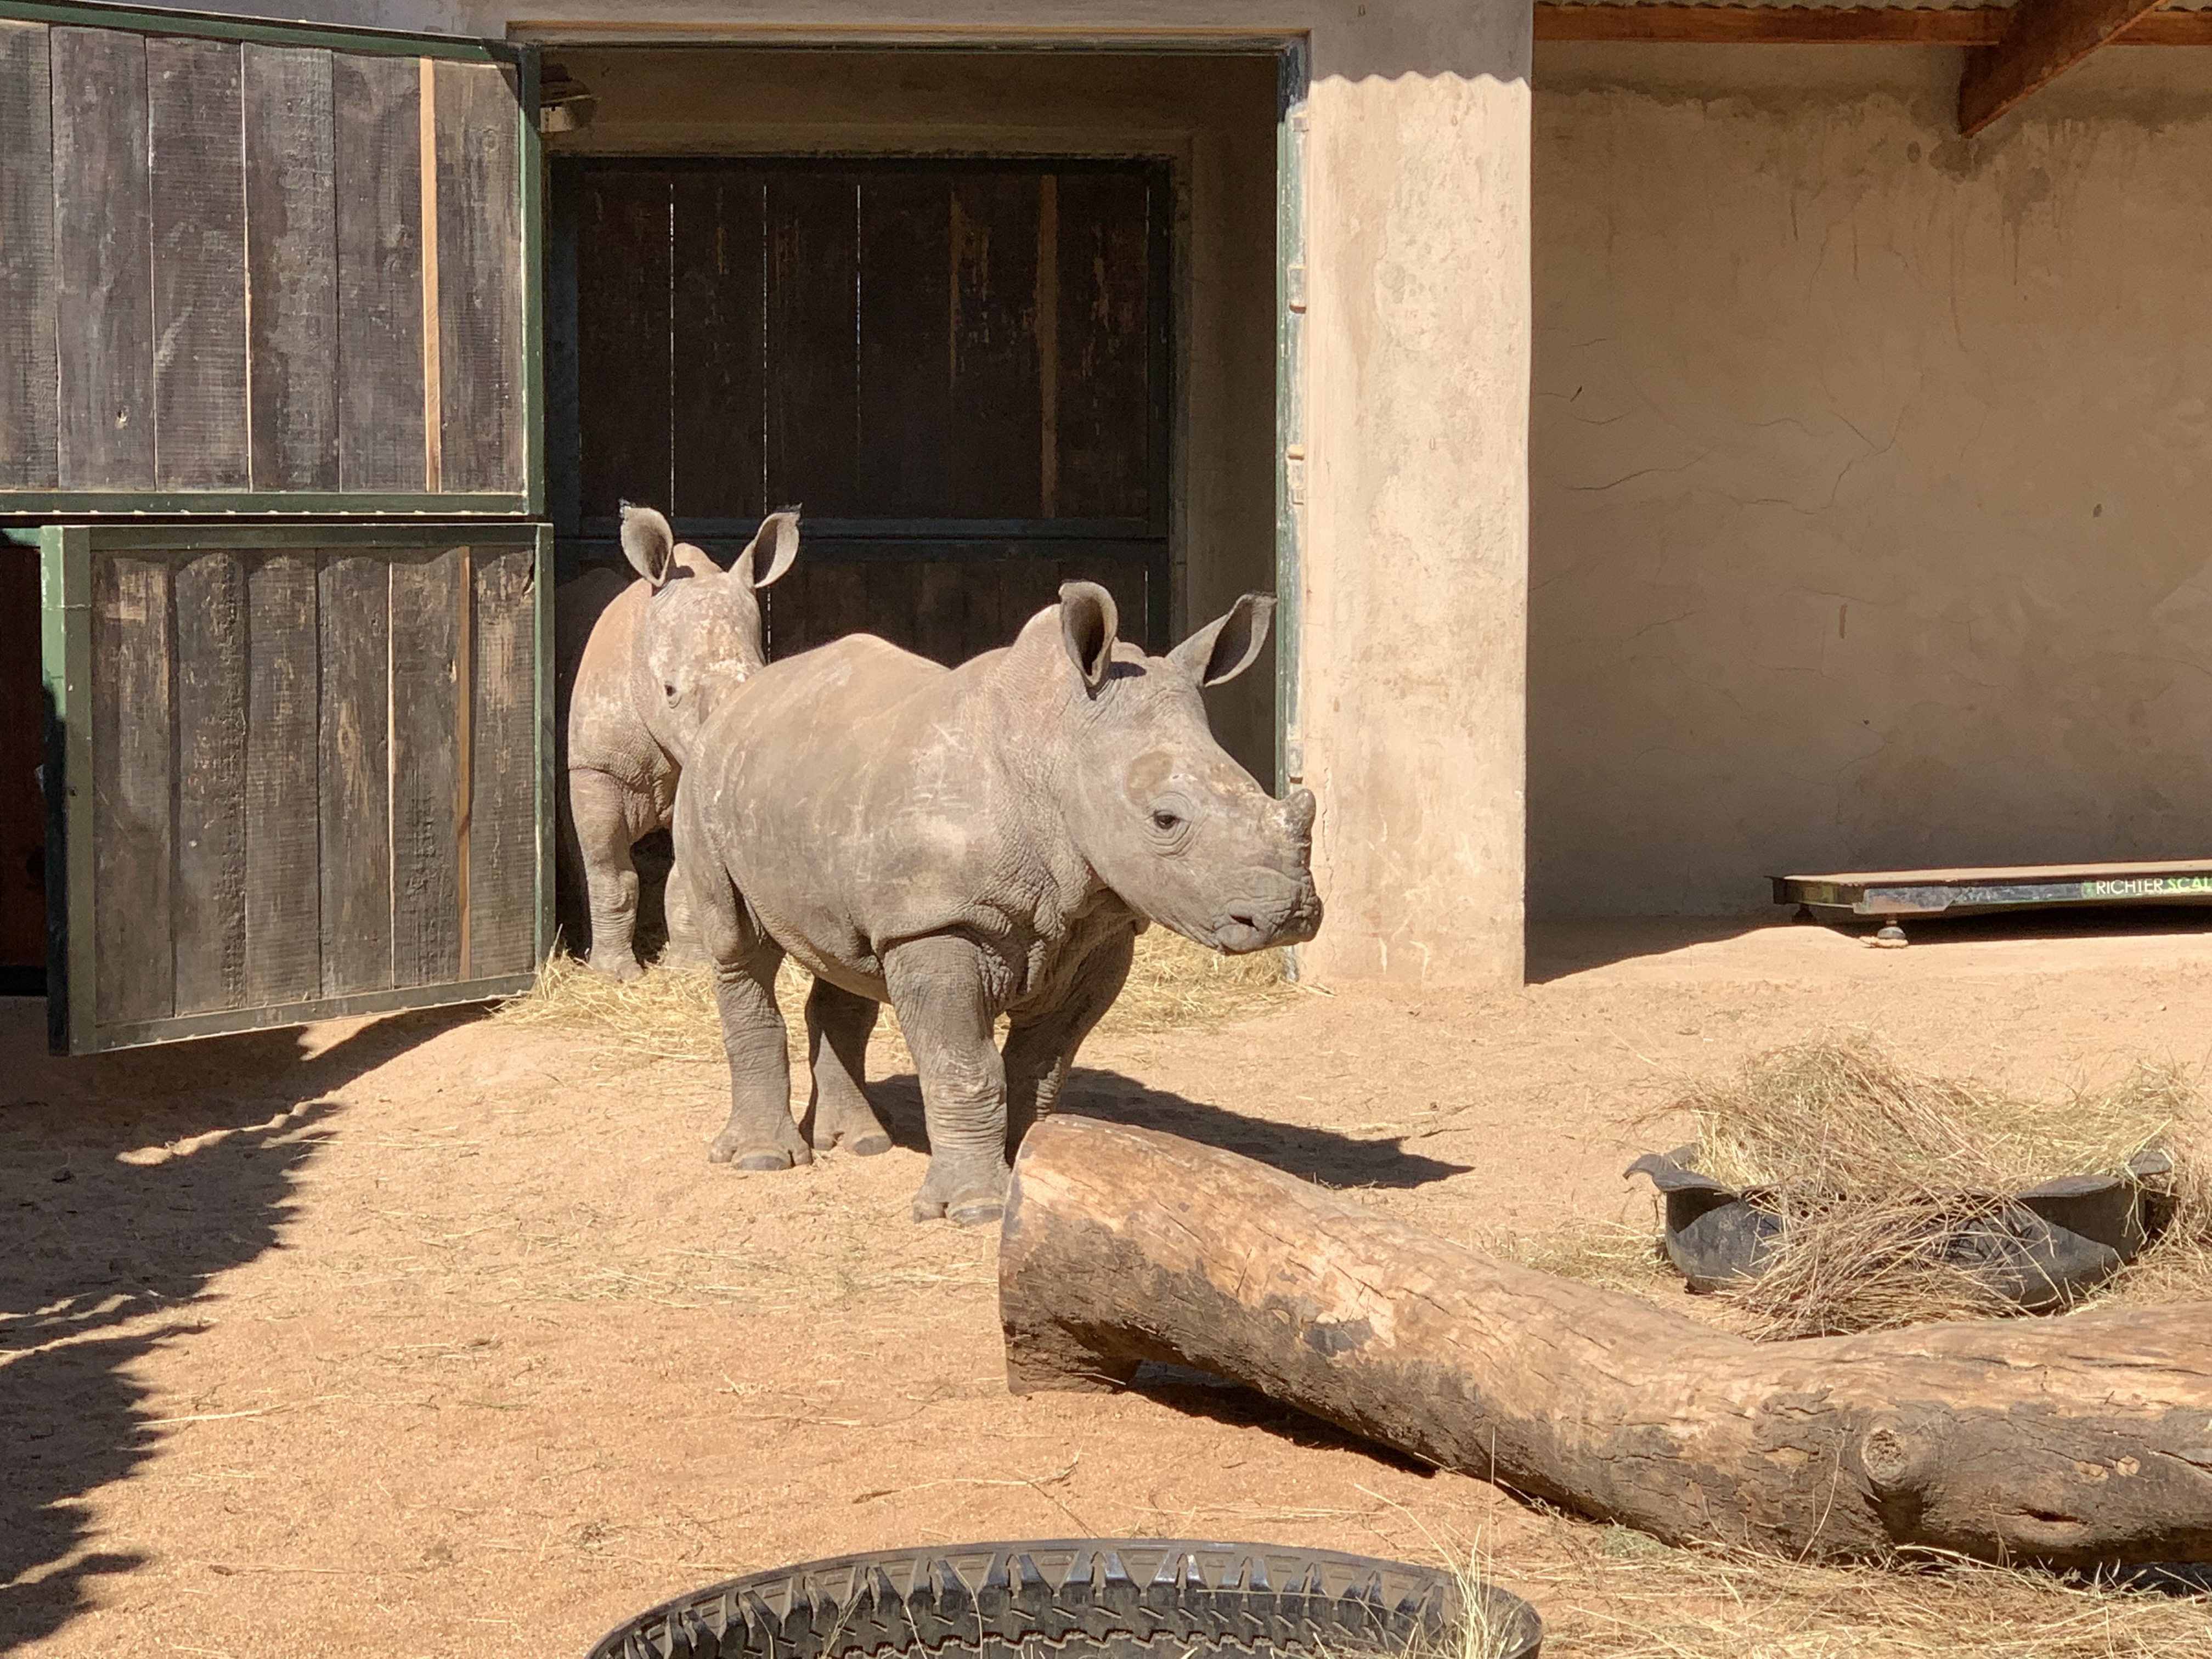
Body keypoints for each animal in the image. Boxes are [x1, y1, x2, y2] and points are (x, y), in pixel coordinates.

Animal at [563, 503, 800, 981]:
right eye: (669, 690)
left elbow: (686, 876)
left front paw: (689, 969)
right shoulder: (595, 766)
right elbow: (610, 871)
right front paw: (615, 975)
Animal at [672, 580, 1322, 1224]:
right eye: (1165, 820)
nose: (1289, 913)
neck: (1059, 749)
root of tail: (740, 698)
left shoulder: (1099, 930)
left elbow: (1044, 1064)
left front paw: (1033, 1169)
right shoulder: (939, 921)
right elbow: (965, 1067)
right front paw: (975, 1208)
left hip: (826, 799)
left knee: (846, 958)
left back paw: (860, 1143)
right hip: (705, 781)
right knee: (738, 946)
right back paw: (764, 1158)